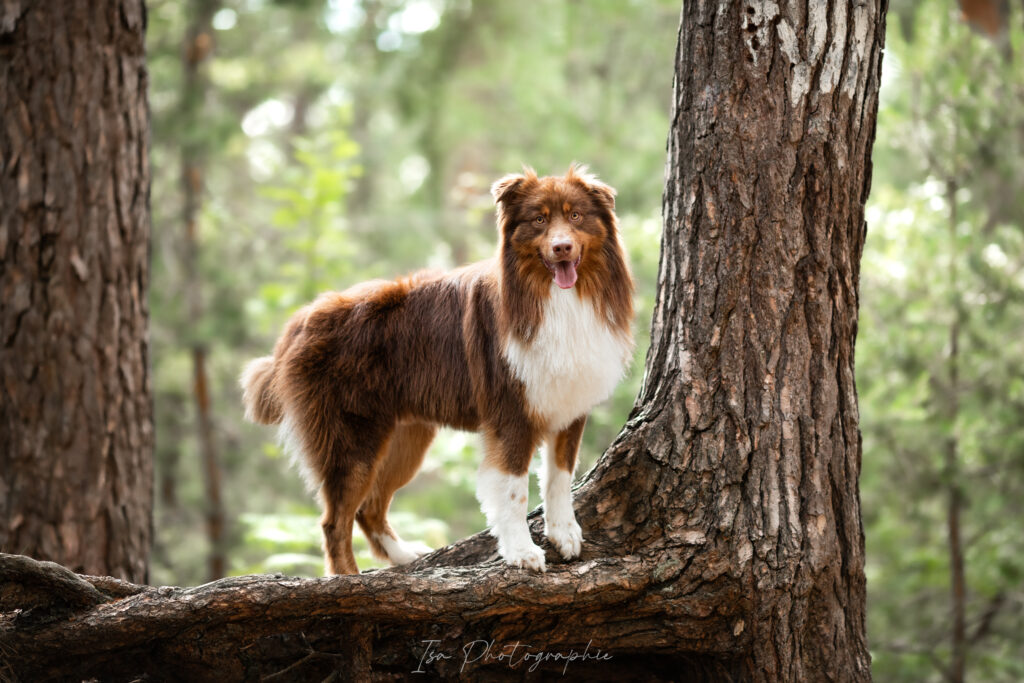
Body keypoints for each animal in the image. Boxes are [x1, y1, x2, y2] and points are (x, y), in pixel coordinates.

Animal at [239, 166, 630, 577]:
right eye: (539, 220)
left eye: (575, 216)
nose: (561, 247)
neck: (554, 298)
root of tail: (299, 323)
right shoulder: (510, 415)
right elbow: (513, 490)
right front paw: (522, 552)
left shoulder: (569, 405)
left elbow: (560, 477)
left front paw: (565, 533)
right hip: (352, 440)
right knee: (335, 520)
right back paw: (348, 578)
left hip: (405, 438)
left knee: (368, 507)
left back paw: (403, 555)